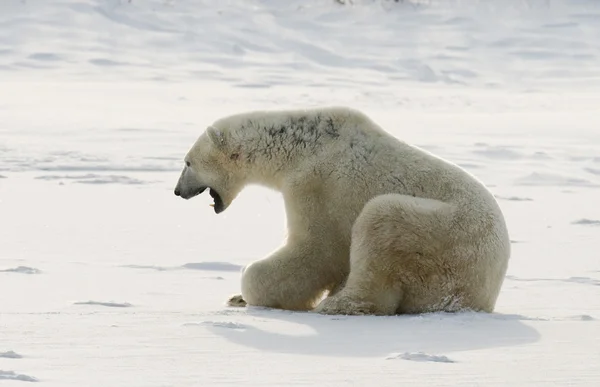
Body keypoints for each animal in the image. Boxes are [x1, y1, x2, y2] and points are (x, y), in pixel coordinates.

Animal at [173, 106, 510, 316]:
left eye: (188, 162)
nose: (177, 191)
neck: (300, 149)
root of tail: (486, 294)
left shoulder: (317, 185)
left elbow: (317, 250)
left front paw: (246, 292)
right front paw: (237, 296)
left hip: (444, 238)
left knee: (381, 223)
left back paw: (335, 305)